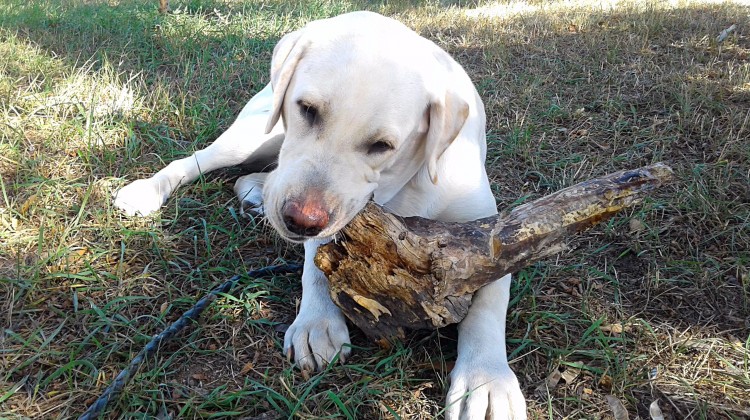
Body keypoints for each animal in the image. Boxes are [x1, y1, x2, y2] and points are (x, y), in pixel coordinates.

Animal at [113, 11, 526, 419]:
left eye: (382, 146)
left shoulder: (493, 234)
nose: (299, 221)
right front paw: (317, 321)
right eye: (307, 109)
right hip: (254, 134)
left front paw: (486, 380)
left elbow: (488, 305)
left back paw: (256, 192)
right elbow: (317, 263)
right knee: (198, 160)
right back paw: (148, 190)